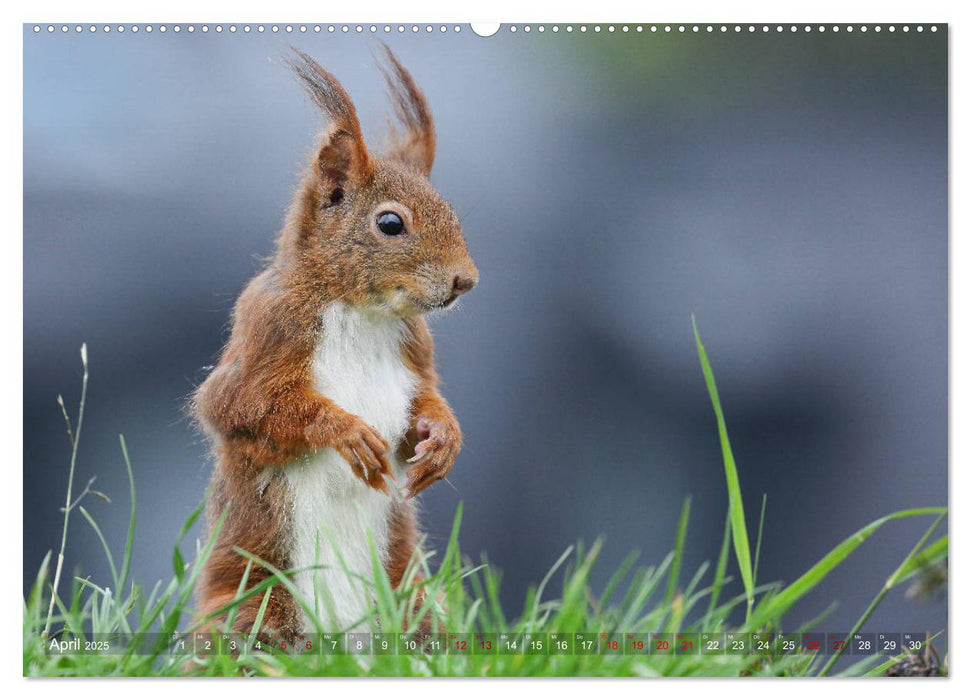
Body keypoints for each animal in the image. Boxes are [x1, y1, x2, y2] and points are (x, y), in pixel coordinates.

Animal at [191, 47, 478, 640]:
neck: (359, 310)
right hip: (254, 609)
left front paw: (444, 437)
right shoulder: (269, 328)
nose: (467, 280)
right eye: (390, 223)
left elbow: (425, 399)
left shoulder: (415, 348)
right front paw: (344, 430)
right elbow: (239, 406)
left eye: (451, 210)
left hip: (415, 601)